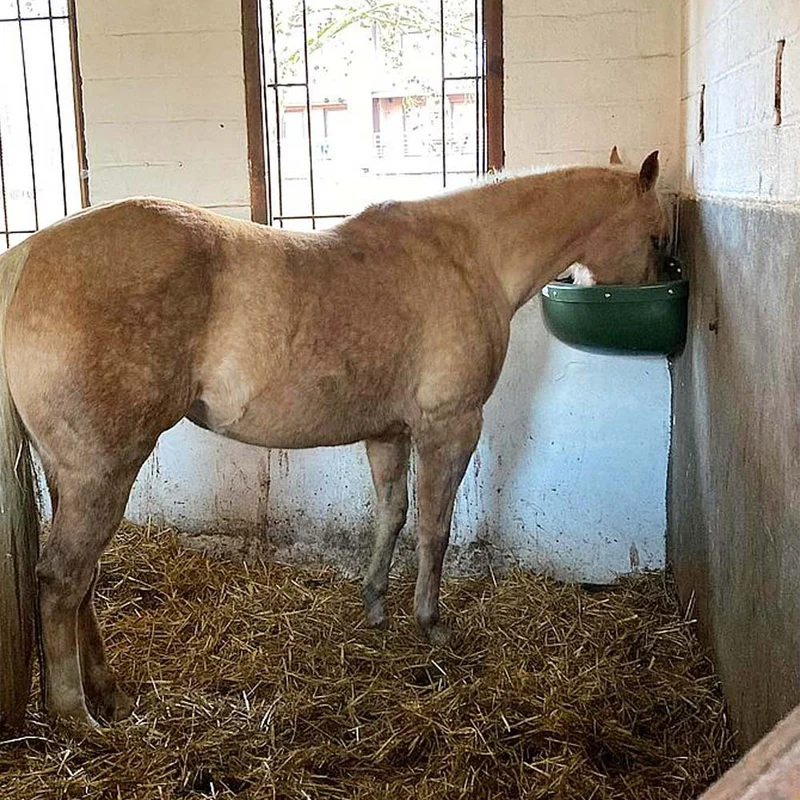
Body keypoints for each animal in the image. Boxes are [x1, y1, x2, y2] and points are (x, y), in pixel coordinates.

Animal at [0, 151, 666, 728]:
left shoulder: (388, 434)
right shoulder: (450, 427)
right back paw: (76, 717)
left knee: (83, 581)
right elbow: (434, 528)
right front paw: (432, 623)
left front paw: (375, 606)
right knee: (61, 581)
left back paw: (109, 694)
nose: (653, 283)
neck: (468, 253)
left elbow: (391, 514)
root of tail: (28, 255)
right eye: (658, 235)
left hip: (71, 476)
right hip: (103, 471)